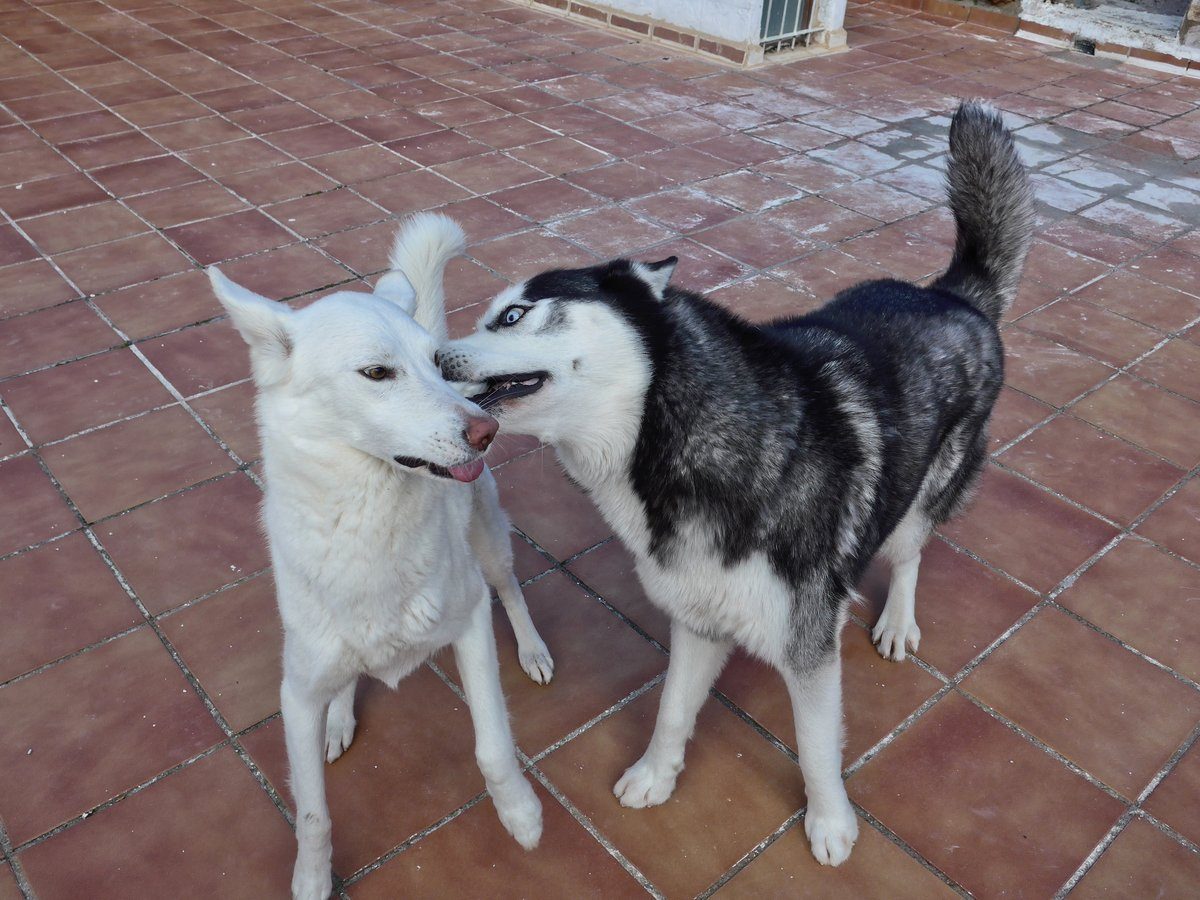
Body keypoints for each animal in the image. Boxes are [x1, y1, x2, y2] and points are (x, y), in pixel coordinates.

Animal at [210, 214, 552, 897]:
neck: (369, 518)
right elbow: (312, 813)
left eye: (435, 365)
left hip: (489, 545)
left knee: (511, 589)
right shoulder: (296, 695)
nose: (487, 430)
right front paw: (312, 878)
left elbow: (493, 746)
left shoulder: (470, 624)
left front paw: (520, 814)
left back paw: (531, 649)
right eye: (376, 373)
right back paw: (341, 716)